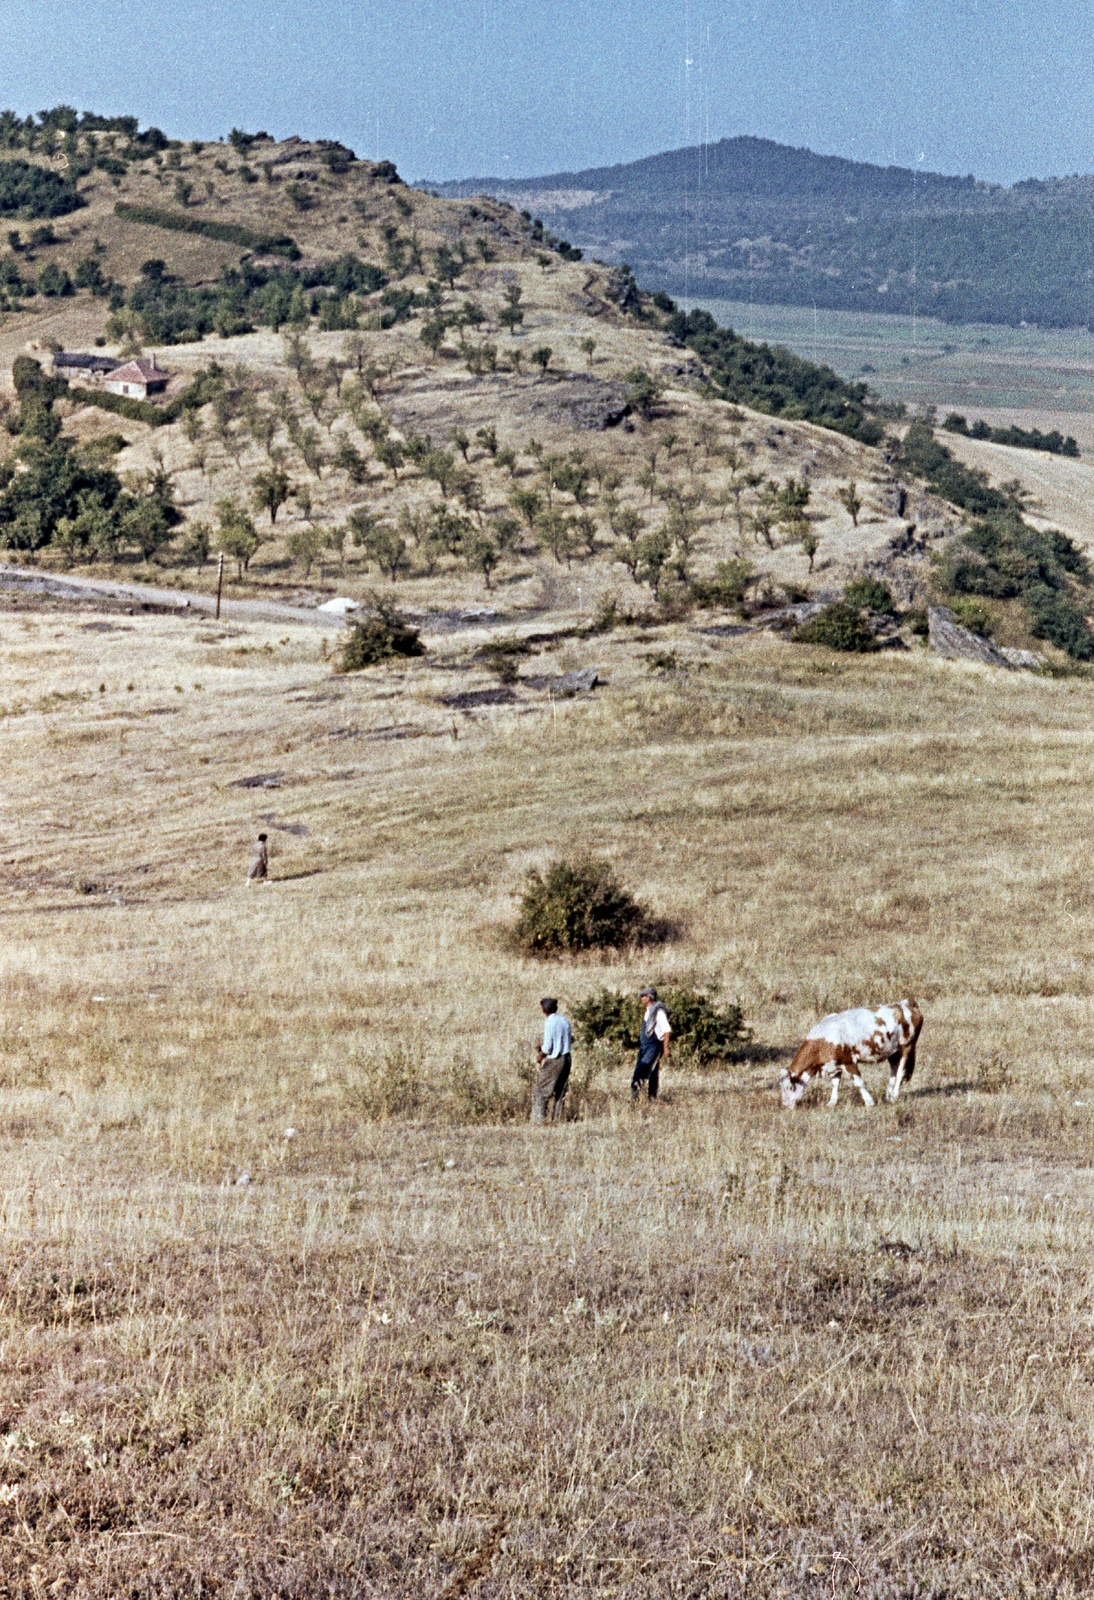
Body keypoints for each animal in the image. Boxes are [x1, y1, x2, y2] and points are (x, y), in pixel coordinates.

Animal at [777, 998, 921, 1113]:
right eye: (781, 1087)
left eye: (790, 1087)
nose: (785, 1105)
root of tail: (907, 1002)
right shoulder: (834, 1065)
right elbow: (835, 1083)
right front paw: (832, 1102)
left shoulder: (848, 1062)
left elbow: (858, 1082)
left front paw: (869, 1102)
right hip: (893, 1052)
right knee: (893, 1070)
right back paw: (888, 1096)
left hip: (907, 1046)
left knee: (901, 1072)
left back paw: (895, 1095)